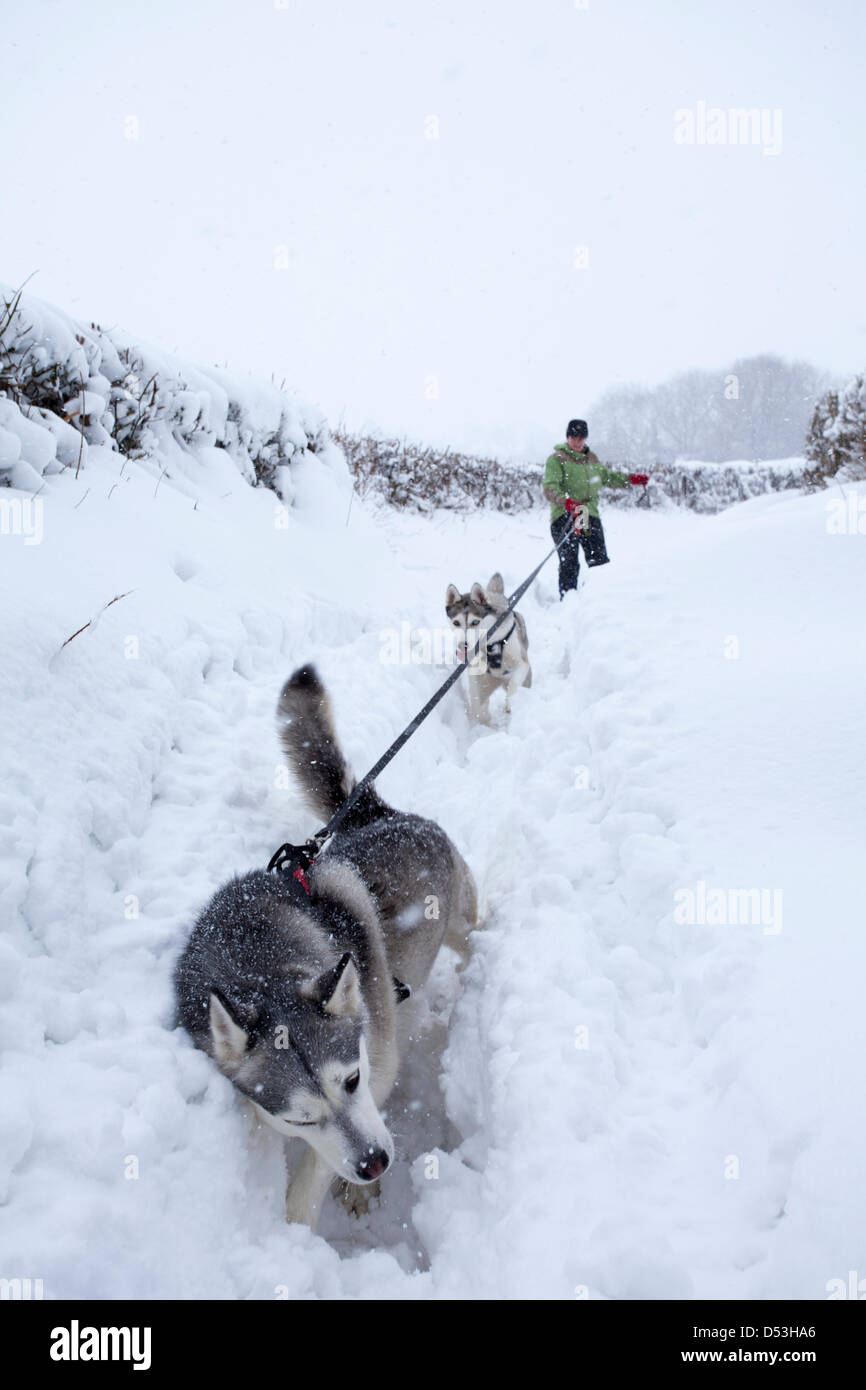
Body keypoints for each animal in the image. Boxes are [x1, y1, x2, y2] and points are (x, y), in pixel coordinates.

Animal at [173, 661, 478, 1228]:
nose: (374, 1163)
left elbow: (317, 1174)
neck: (261, 961)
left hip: (460, 921)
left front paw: (304, 1214)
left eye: (352, 1080)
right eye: (299, 1118)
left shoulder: (378, 1060)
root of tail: (385, 815)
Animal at [444, 572, 530, 728]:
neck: (490, 643)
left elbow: (513, 686)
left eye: (475, 622)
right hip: (486, 684)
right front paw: (482, 719)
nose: (462, 646)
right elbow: (476, 703)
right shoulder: (474, 671)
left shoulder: (522, 663)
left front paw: (509, 705)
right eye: (456, 623)